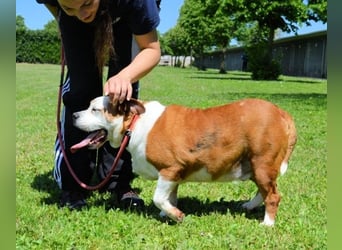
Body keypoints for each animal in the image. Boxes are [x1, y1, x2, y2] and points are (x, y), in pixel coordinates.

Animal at [72, 96, 296, 226]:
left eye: (95, 109)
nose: (73, 114)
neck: (134, 124)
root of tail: (281, 113)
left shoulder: (169, 170)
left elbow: (159, 198)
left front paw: (176, 215)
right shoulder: (174, 176)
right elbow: (169, 197)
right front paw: (167, 214)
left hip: (262, 164)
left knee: (273, 196)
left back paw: (267, 223)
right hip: (255, 166)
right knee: (263, 191)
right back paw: (249, 206)